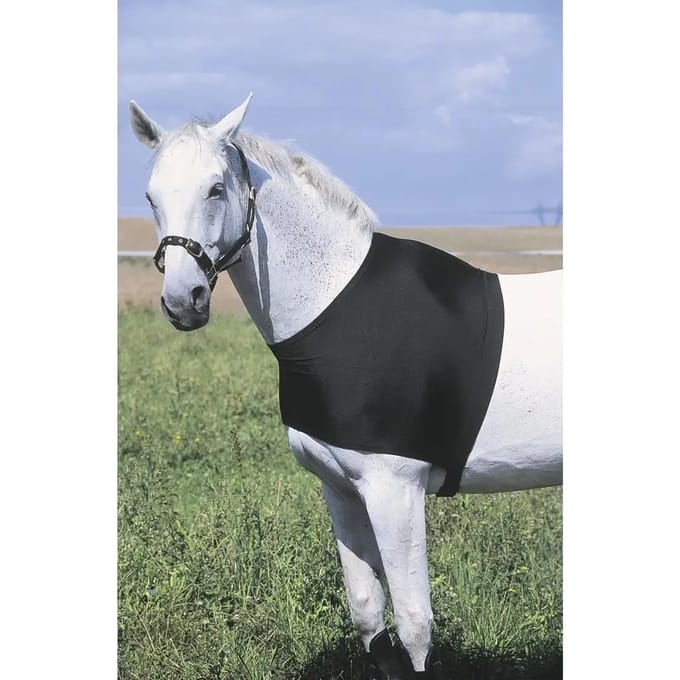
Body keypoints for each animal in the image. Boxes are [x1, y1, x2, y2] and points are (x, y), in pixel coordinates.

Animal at [128, 94, 562, 679]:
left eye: (216, 188)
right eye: (151, 196)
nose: (183, 301)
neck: (335, 304)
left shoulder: (395, 489)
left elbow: (414, 624)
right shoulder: (341, 488)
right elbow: (367, 614)